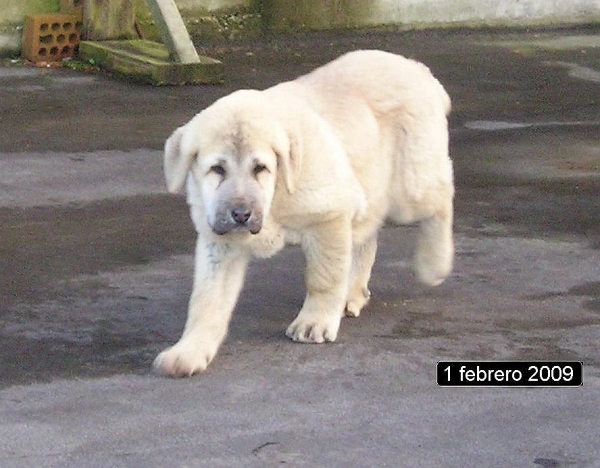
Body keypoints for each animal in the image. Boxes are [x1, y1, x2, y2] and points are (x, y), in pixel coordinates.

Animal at [152, 49, 452, 376]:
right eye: (217, 169)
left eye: (260, 168)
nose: (241, 214)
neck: (276, 195)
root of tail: (418, 69)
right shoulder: (220, 242)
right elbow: (207, 300)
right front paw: (189, 351)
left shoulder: (329, 216)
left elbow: (324, 277)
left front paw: (314, 323)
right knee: (367, 236)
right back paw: (353, 292)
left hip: (409, 187)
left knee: (442, 197)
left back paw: (434, 265)